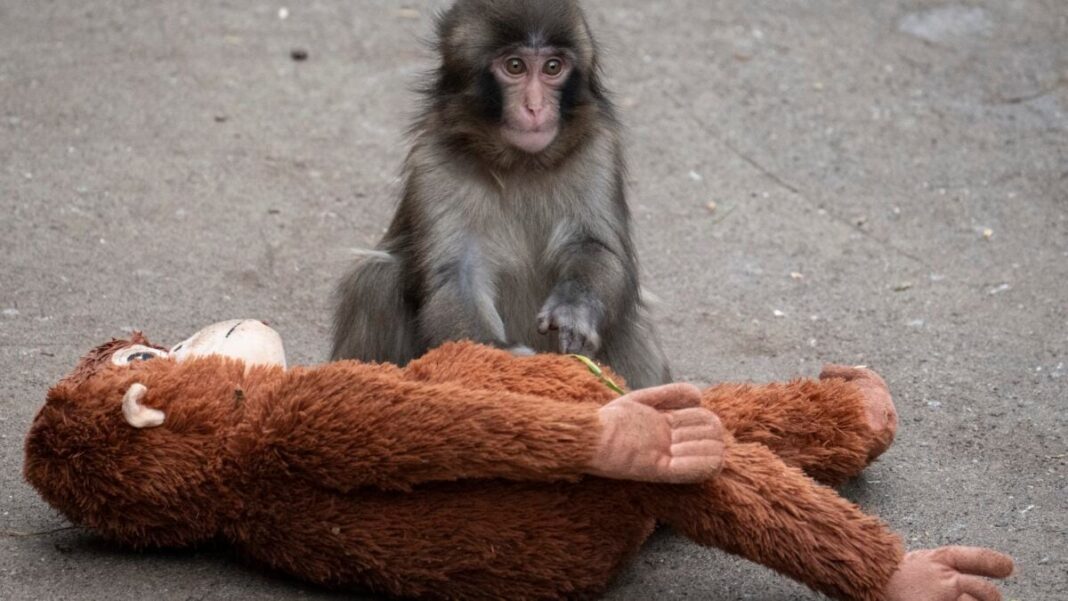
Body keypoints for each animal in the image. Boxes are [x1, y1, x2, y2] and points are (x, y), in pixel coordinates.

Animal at [332, 0, 671, 389]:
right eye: (515, 67)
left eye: (552, 67)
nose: (535, 107)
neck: (521, 164)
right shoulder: (434, 162)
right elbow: (458, 274)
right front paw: (500, 357)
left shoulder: (597, 150)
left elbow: (596, 247)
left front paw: (574, 309)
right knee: (375, 279)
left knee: (630, 321)